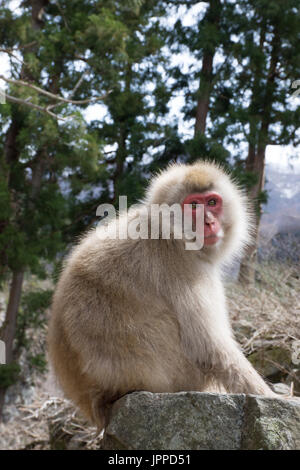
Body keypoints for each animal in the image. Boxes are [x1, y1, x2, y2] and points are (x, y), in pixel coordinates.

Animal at [48, 161, 278, 430]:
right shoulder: (184, 265)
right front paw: (271, 396)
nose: (210, 222)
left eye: (212, 202)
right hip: (171, 375)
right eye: (193, 205)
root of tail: (95, 405)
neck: (168, 230)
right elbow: (210, 349)